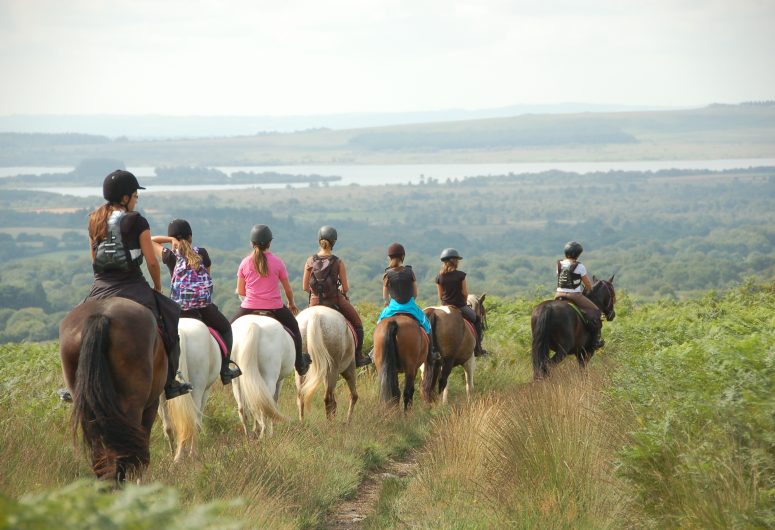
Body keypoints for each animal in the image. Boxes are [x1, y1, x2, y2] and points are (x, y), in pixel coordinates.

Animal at [156, 316, 220, 460]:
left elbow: (169, 426)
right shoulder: (206, 391)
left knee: (170, 425)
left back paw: (177, 455)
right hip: (198, 388)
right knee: (193, 421)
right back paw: (190, 454)